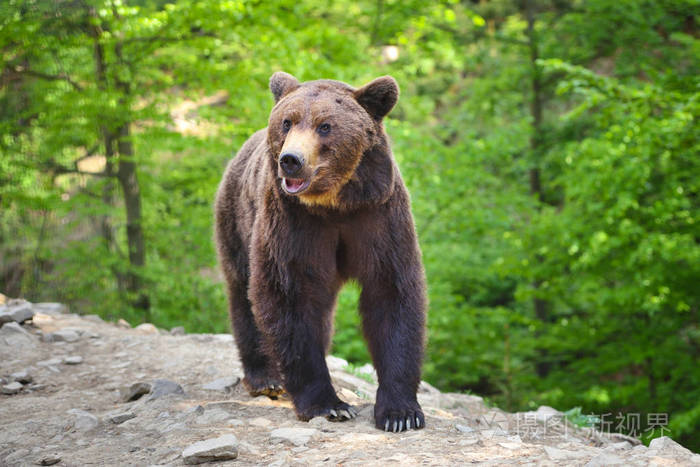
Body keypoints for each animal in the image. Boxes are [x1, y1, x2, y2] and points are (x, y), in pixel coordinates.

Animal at [215, 71, 426, 434]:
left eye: (325, 126)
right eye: (287, 122)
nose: (291, 160)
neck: (334, 204)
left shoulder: (378, 215)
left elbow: (392, 293)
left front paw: (401, 412)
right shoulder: (293, 224)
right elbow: (287, 298)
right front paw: (329, 404)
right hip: (236, 219)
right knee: (243, 293)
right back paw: (266, 377)